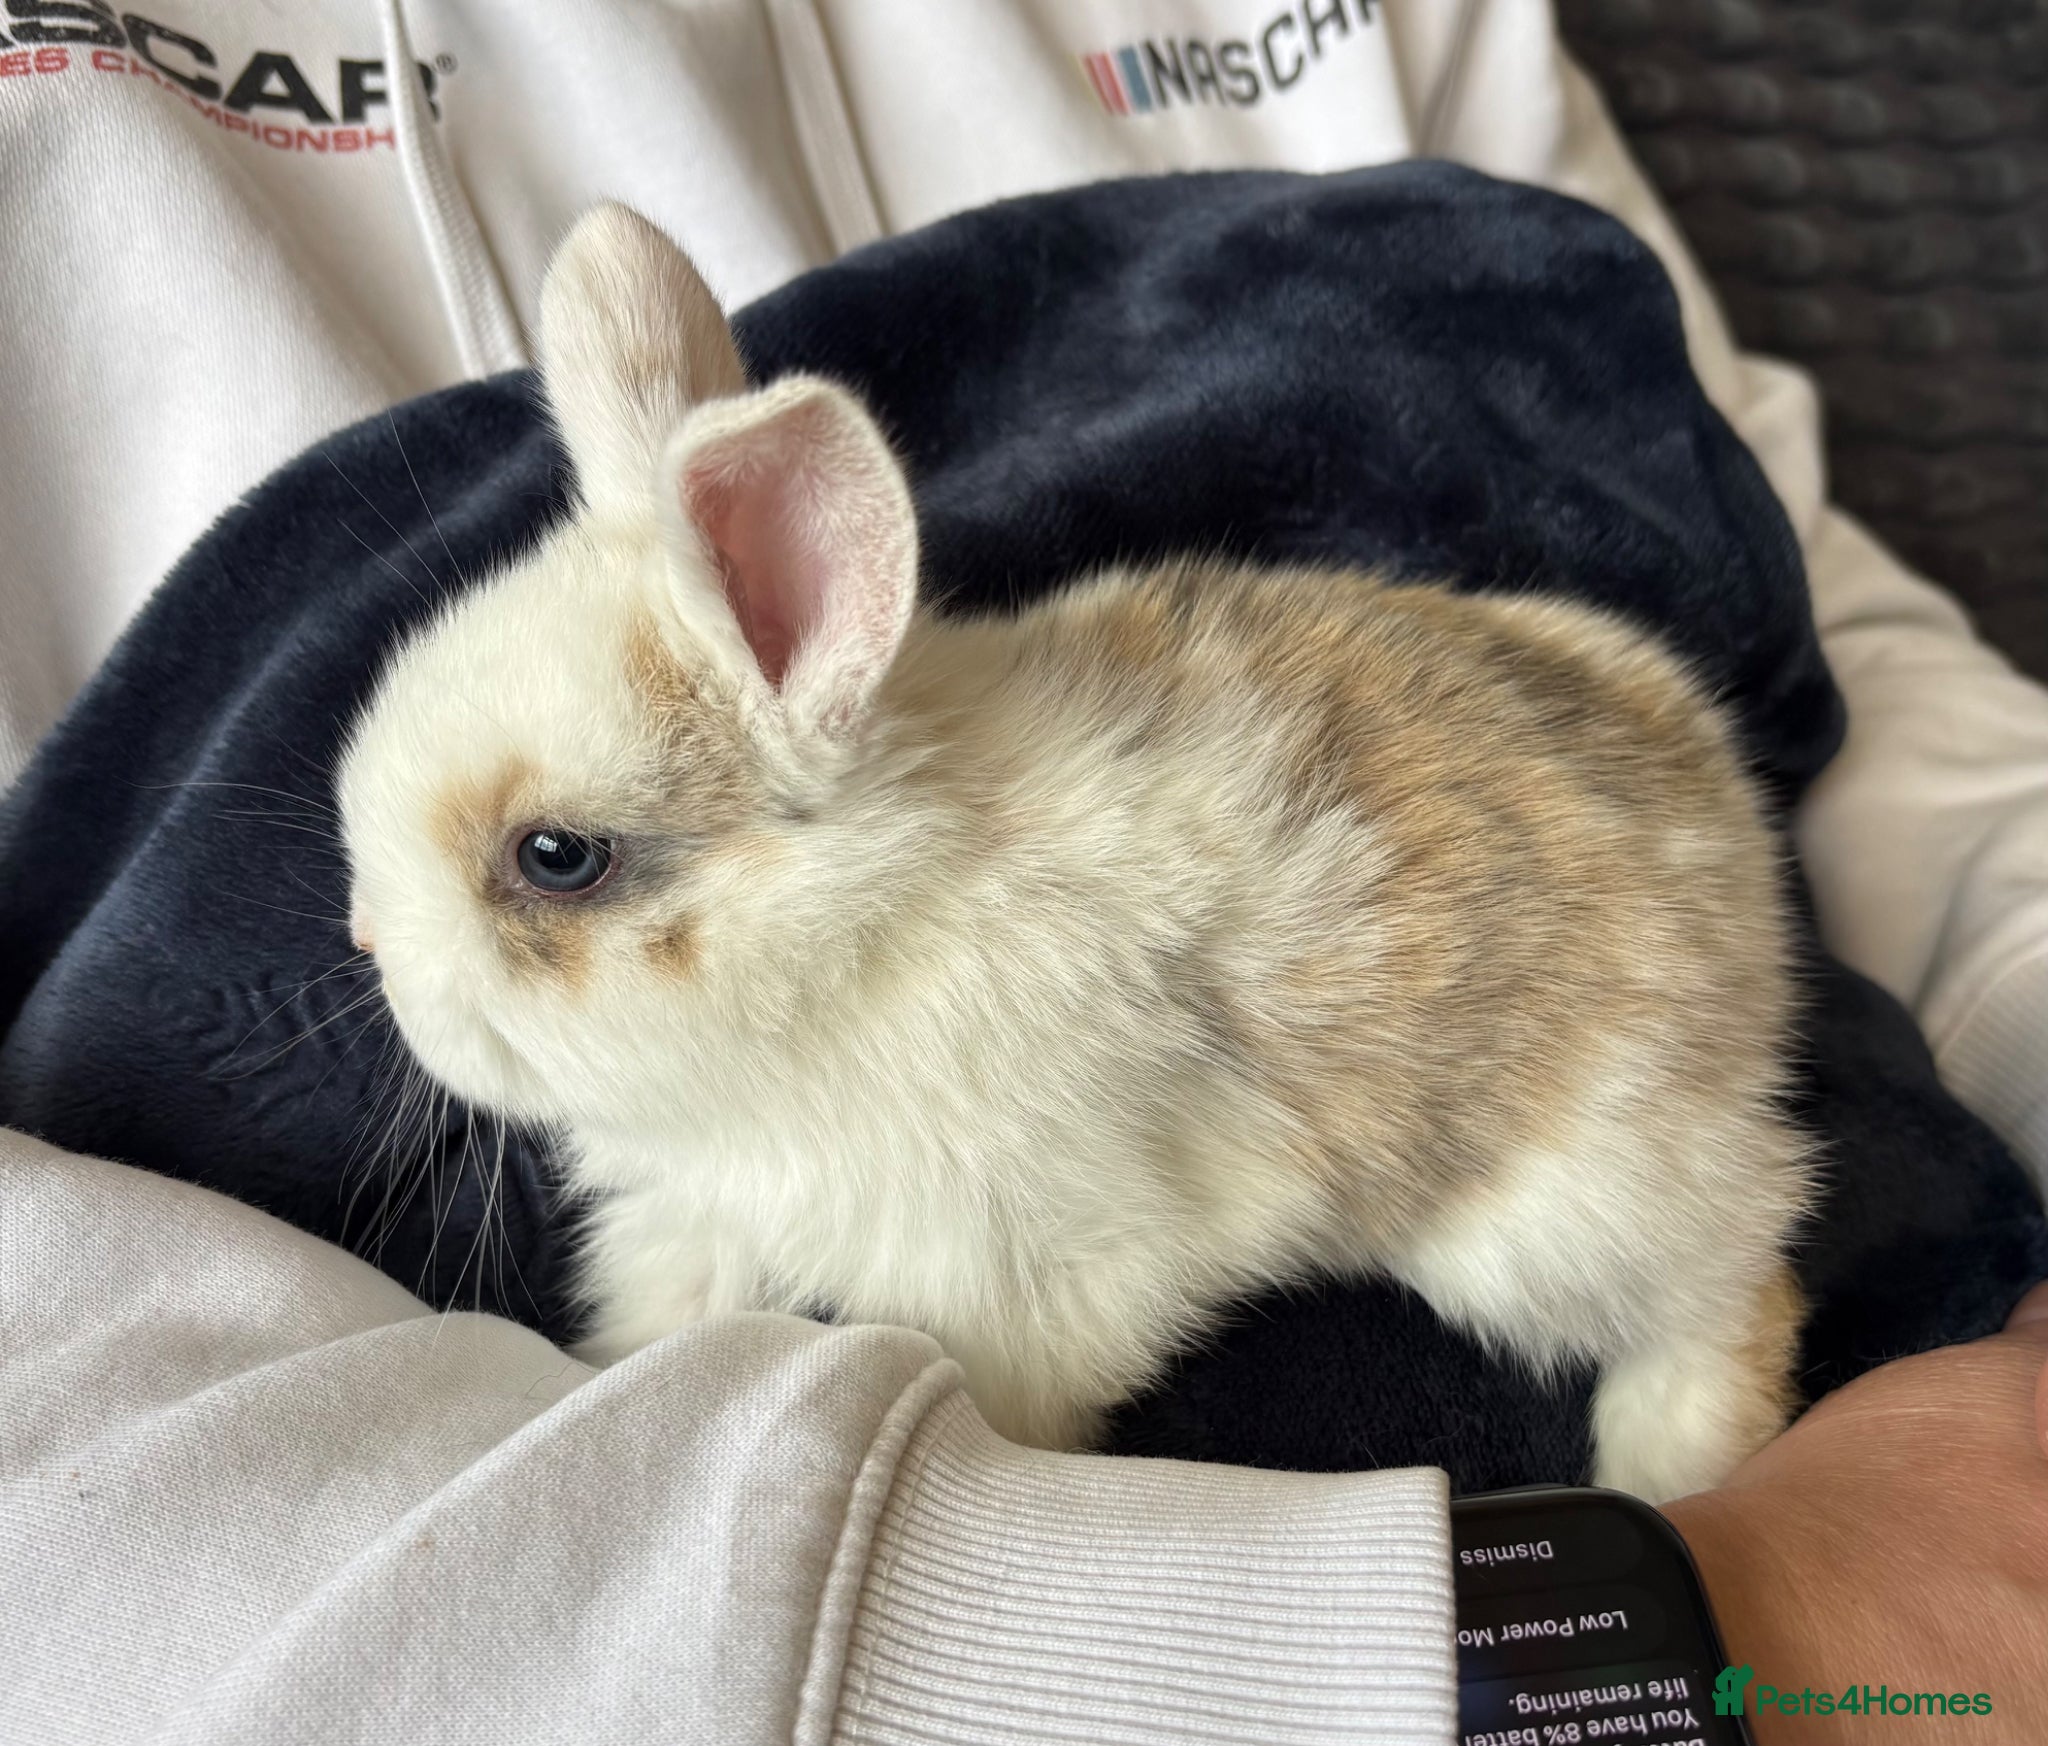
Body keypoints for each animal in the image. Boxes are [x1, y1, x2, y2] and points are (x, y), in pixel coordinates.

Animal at [338, 203, 1814, 1504]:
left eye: (555, 856)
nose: (367, 950)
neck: (860, 928)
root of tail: (1730, 825)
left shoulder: (1030, 1281)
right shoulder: (692, 1221)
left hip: (1566, 1207)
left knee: (1744, 1272)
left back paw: (1676, 1465)